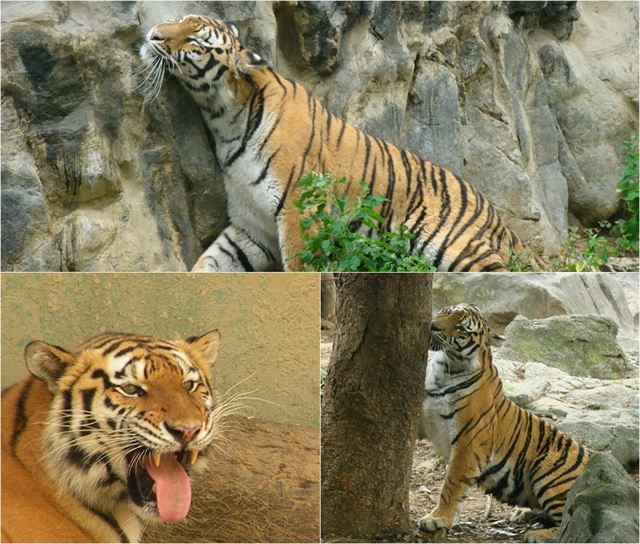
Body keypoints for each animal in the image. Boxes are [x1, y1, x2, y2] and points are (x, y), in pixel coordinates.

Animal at [141, 15, 536, 272]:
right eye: (181, 19)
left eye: (194, 40)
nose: (153, 35)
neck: (225, 116)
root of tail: (499, 220)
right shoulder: (251, 226)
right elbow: (210, 263)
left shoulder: (299, 209)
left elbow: (300, 267)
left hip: (455, 247)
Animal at [420, 304, 592, 540]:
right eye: (448, 312)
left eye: (461, 329)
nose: (433, 326)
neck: (444, 367)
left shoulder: (468, 443)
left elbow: (451, 485)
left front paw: (437, 519)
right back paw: (523, 514)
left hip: (548, 472)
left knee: (569, 520)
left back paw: (538, 534)